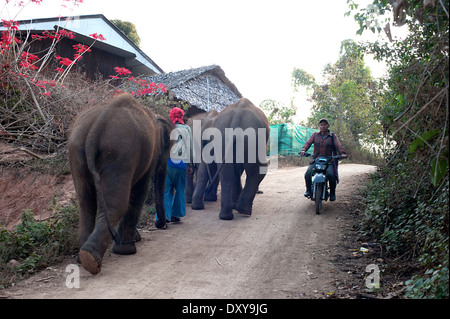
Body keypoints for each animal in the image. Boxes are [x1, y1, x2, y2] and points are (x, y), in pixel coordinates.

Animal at [67, 93, 173, 276]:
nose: (162, 225)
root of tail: (97, 124)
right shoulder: (149, 152)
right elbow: (139, 190)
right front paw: (127, 249)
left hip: (77, 151)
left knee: (86, 203)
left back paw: (82, 258)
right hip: (119, 153)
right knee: (116, 204)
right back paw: (92, 259)